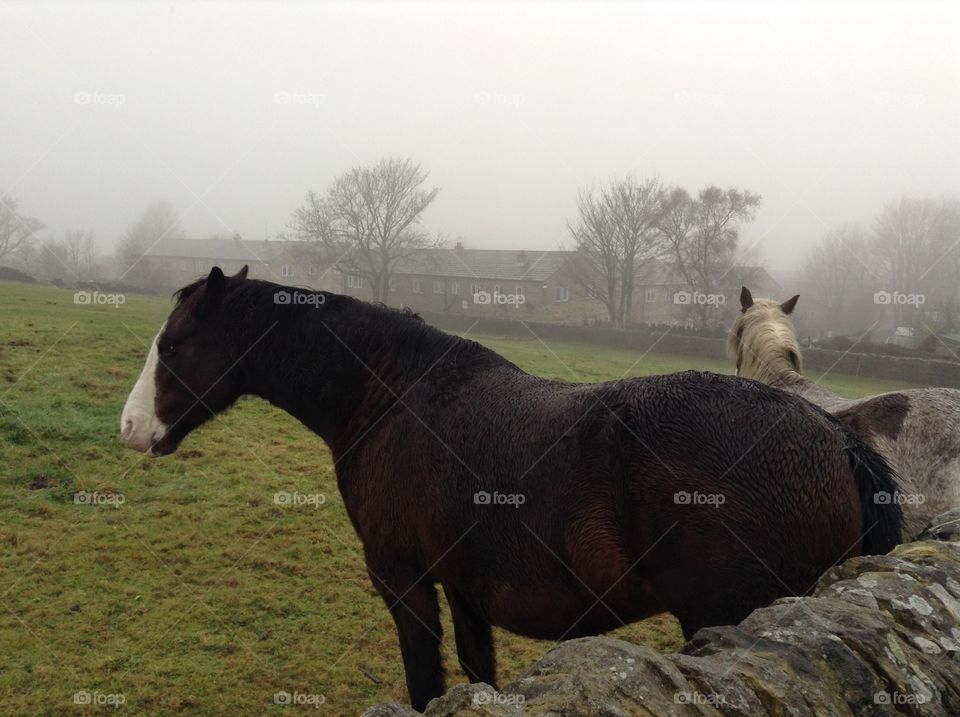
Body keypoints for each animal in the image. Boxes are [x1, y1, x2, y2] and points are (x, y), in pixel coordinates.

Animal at [118, 268, 900, 712]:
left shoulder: (404, 583)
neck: (390, 394)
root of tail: (835, 438)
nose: (130, 427)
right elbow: (477, 673)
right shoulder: (465, 591)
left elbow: (427, 684)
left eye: (176, 343)